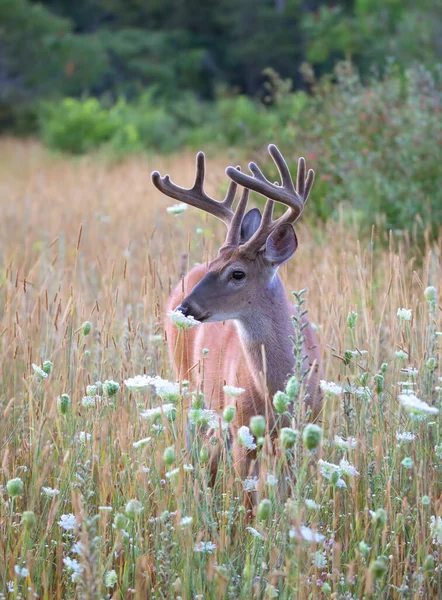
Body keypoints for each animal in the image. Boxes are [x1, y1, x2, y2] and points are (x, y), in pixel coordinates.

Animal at [152, 145, 322, 482]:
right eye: (214, 264)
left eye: (238, 273)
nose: (183, 308)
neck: (273, 391)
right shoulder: (242, 428)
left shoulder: (304, 429)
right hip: (188, 383)